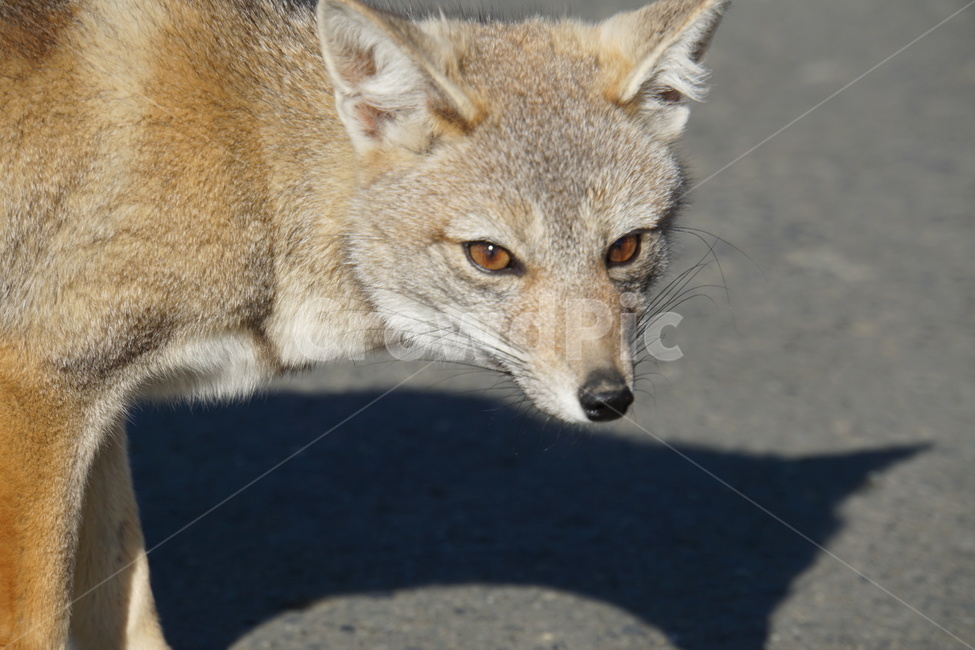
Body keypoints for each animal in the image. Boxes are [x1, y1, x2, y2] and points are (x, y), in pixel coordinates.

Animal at [0, 0, 730, 646]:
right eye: (491, 256)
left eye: (625, 249)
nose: (607, 398)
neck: (253, 166)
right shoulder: (43, 394)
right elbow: (39, 627)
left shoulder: (100, 410)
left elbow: (128, 617)